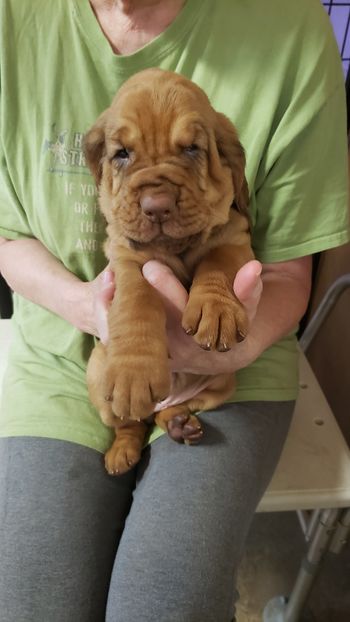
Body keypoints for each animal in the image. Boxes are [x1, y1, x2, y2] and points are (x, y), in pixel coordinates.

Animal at [85, 68, 254, 476]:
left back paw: (178, 422)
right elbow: (136, 297)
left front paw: (216, 310)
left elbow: (217, 261)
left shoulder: (235, 237)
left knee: (170, 411)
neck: (176, 250)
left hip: (225, 381)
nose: (156, 204)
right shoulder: (125, 258)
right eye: (122, 154)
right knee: (130, 421)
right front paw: (134, 373)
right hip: (96, 374)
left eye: (192, 149)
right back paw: (123, 450)